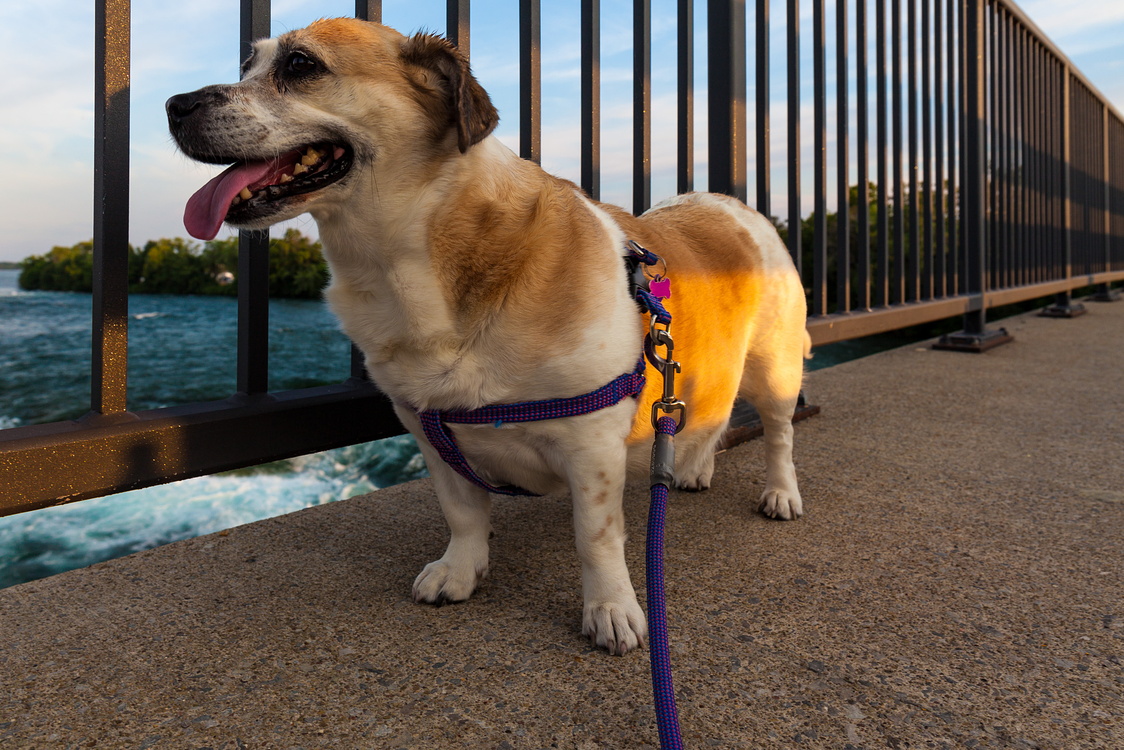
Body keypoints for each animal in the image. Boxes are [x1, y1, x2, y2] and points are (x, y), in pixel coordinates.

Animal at [167, 18, 809, 656]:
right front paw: (461, 569)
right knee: (707, 414)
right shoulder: (428, 429)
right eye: (248, 64)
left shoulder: (592, 446)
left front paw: (610, 608)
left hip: (775, 370)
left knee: (778, 435)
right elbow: (463, 512)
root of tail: (728, 205)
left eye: (300, 65)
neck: (411, 266)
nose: (175, 104)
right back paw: (693, 467)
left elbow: (595, 537)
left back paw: (780, 495)